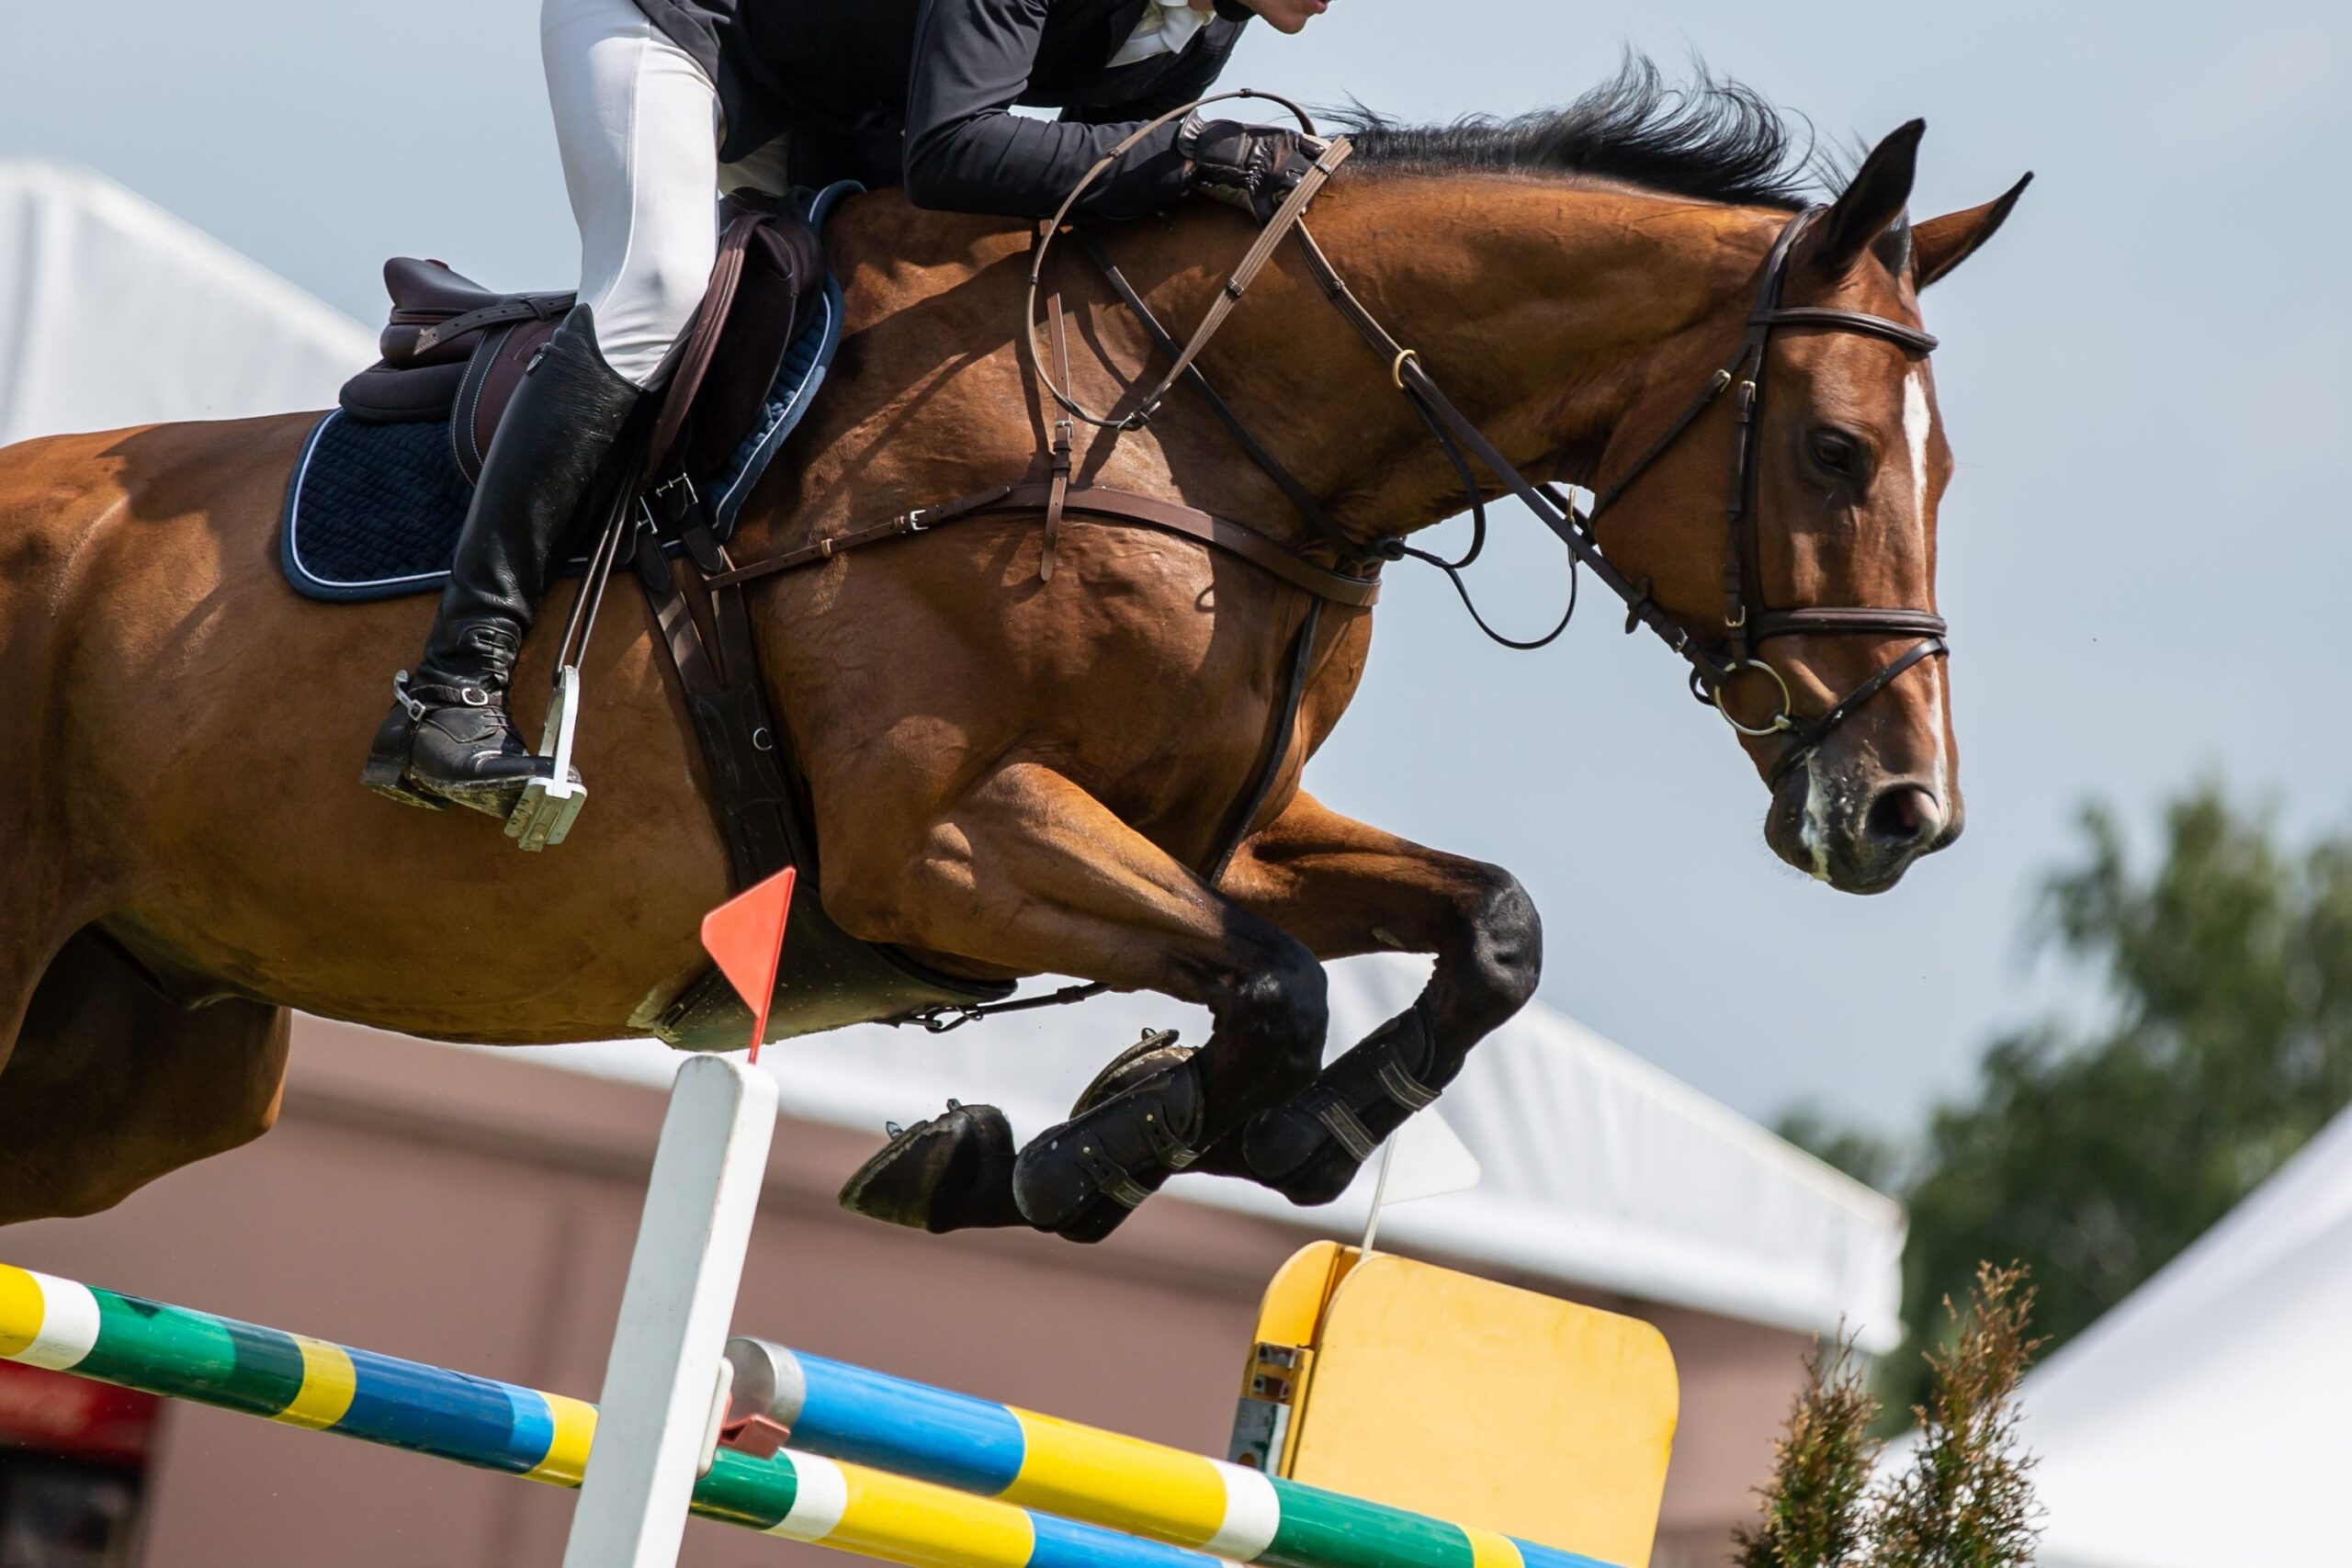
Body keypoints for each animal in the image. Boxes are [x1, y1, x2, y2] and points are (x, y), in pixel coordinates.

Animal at [0, 73, 2024, 1232]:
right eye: (1837, 454)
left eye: (1943, 468)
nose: (1904, 810)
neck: (1196, 424)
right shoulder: (940, 841)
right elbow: (1277, 986)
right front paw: (1074, 1150)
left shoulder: (1217, 831)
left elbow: (1489, 930)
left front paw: (1240, 1141)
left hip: (150, 1055)